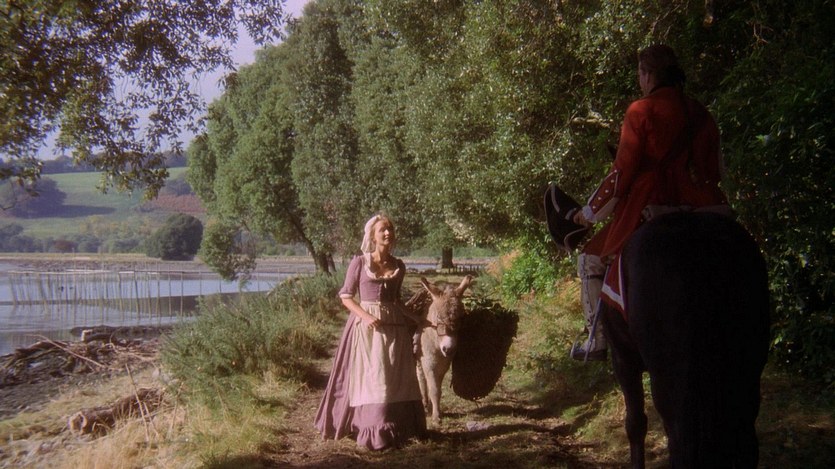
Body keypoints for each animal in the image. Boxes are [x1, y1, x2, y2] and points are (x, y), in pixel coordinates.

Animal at [411, 275, 472, 425]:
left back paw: (425, 404)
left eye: (462, 317)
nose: (449, 349)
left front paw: (437, 411)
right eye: (438, 317)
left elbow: (438, 390)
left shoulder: (443, 367)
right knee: (420, 378)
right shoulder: (429, 364)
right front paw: (436, 417)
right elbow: (434, 390)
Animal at [600, 211, 770, 468]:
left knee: (681, 442)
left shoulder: (623, 360)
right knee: (746, 442)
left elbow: (635, 423)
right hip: (746, 371)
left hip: (671, 377)